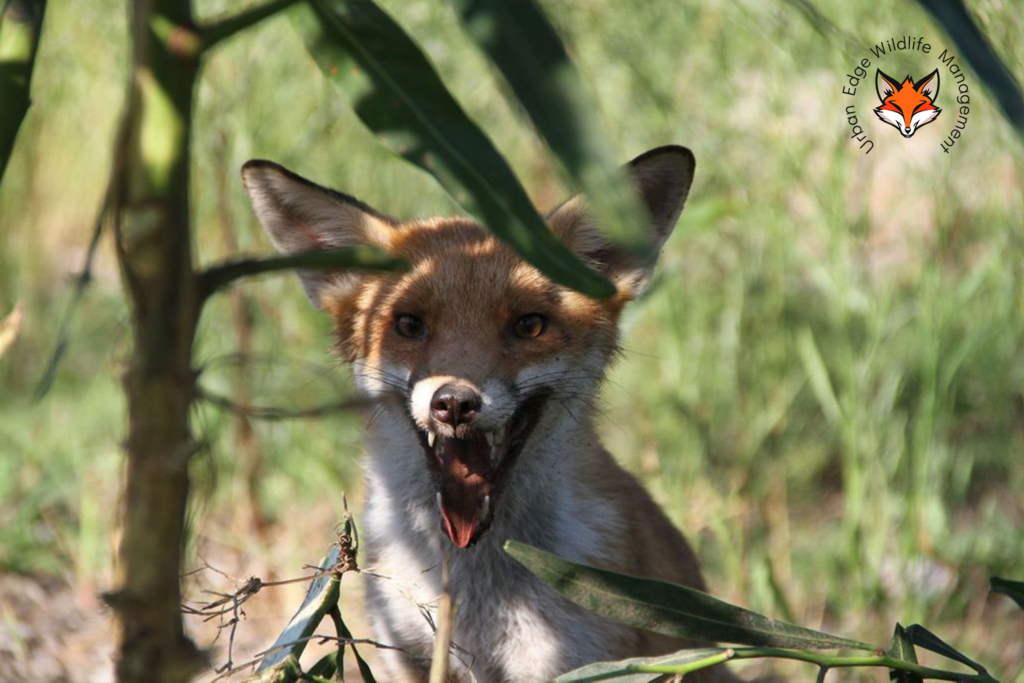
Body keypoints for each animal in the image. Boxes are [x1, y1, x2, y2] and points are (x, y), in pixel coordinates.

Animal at [242, 145, 735, 682]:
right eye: (409, 324)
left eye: (529, 325)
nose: (454, 402)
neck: (475, 593)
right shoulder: (404, 651)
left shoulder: (578, 663)